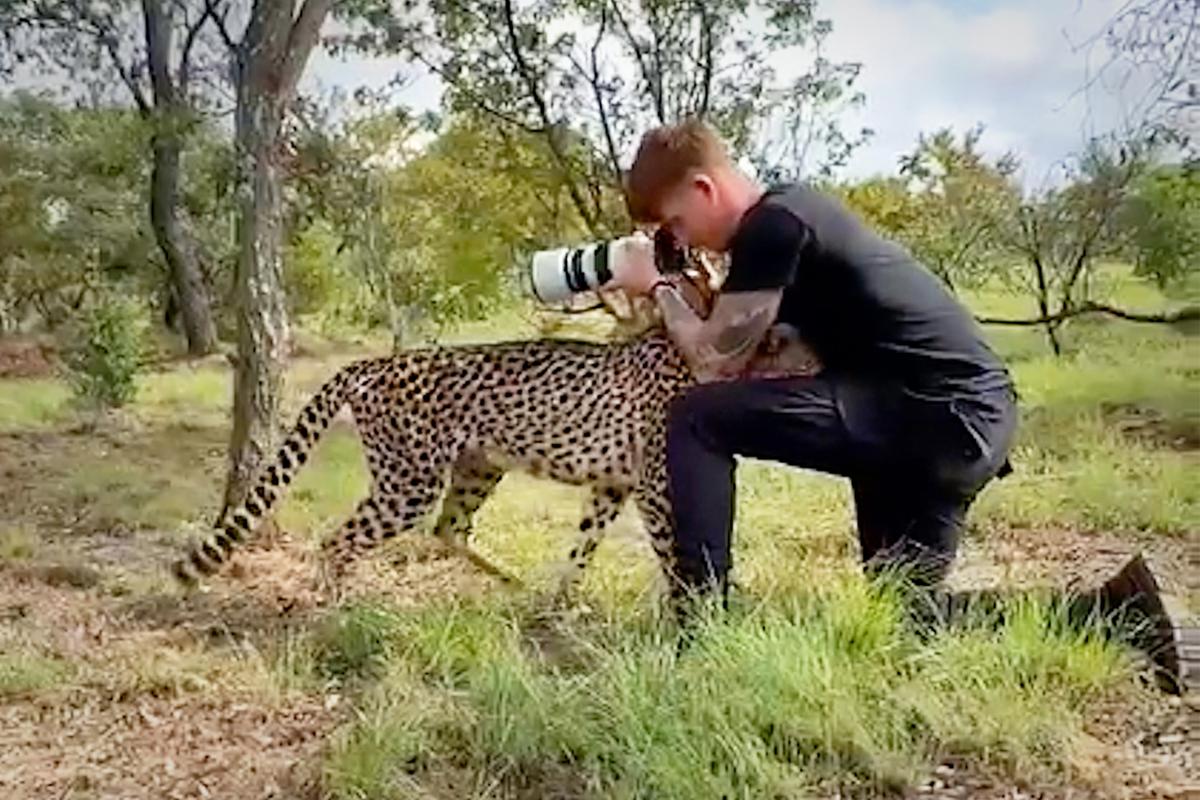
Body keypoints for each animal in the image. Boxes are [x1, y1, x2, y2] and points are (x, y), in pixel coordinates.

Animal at [170, 268, 821, 600]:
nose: (823, 360)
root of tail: (376, 362)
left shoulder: (612, 486)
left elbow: (584, 546)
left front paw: (563, 603)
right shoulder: (656, 488)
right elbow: (672, 554)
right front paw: (690, 616)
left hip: (477, 466)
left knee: (450, 529)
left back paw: (515, 583)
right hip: (408, 484)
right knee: (339, 541)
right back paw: (335, 611)